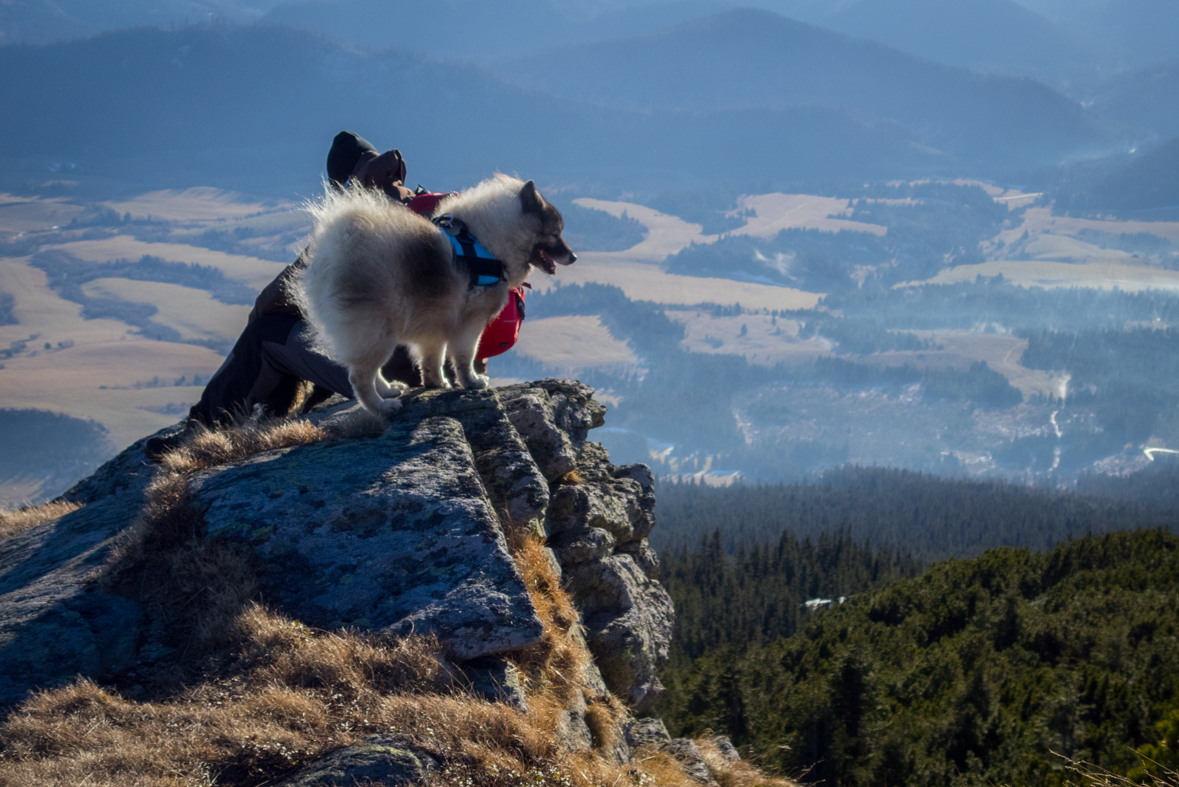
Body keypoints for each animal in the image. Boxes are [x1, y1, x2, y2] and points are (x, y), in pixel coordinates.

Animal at [292, 173, 572, 417]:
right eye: (555, 234)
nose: (574, 257)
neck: (488, 245)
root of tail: (333, 254)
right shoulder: (470, 322)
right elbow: (464, 356)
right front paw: (471, 381)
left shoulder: (435, 325)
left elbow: (433, 359)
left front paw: (436, 382)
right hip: (377, 330)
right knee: (359, 377)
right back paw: (381, 407)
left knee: (370, 370)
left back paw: (389, 389)